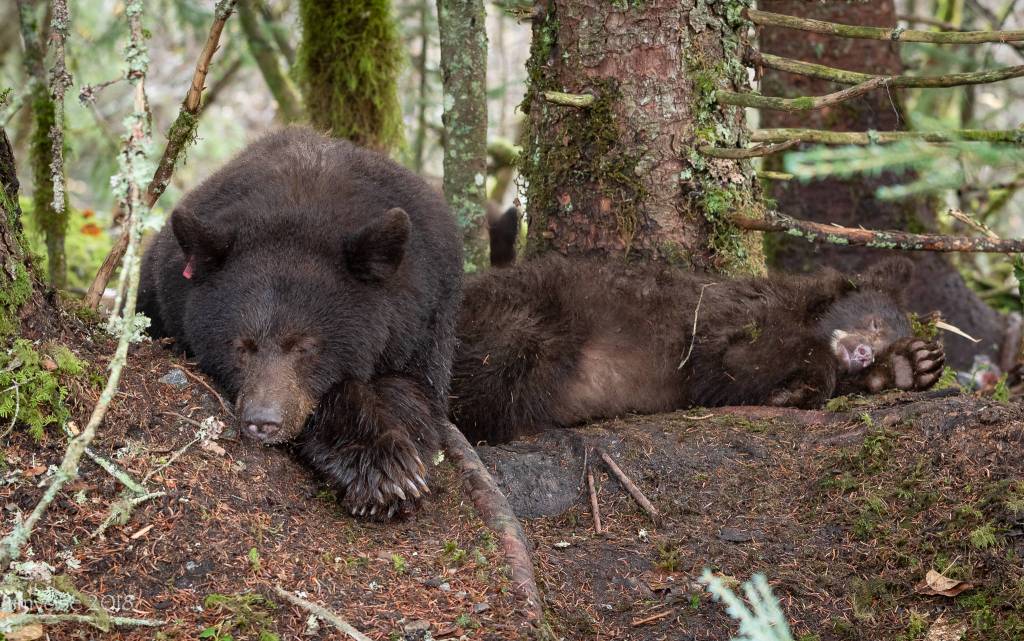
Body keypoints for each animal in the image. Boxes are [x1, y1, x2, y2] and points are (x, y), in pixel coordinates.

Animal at [138, 127, 463, 519]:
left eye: (305, 346)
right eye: (241, 346)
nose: (262, 421)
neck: (301, 205)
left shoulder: (426, 315)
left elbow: (414, 391)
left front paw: (391, 468)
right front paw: (381, 467)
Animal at [450, 253, 944, 444]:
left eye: (887, 336)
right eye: (873, 321)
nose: (864, 354)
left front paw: (912, 363)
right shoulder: (723, 317)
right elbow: (730, 361)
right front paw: (798, 388)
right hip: (521, 316)